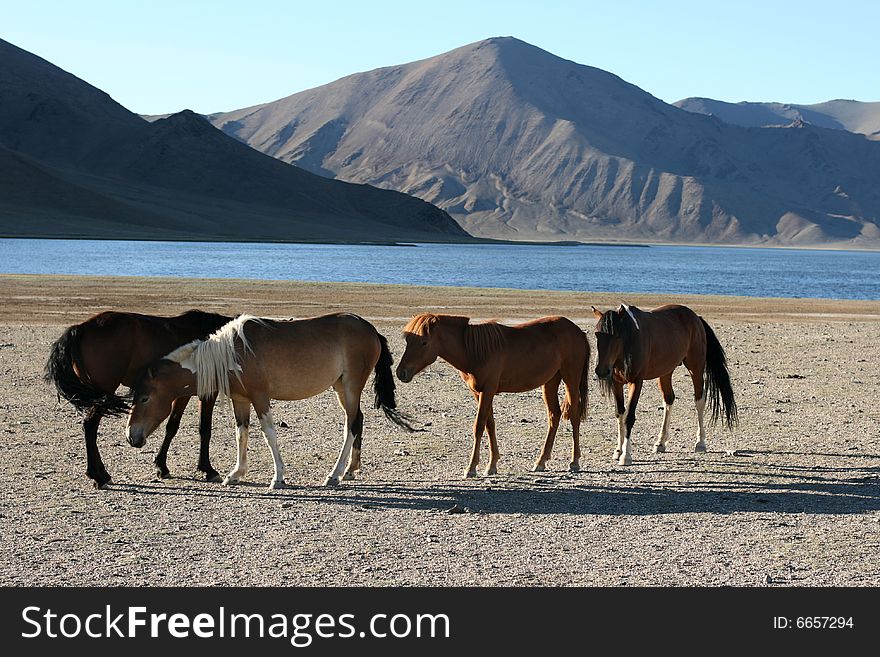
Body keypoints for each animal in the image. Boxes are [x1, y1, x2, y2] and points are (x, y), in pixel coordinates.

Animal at [45, 308, 232, 486]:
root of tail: (80, 328)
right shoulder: (206, 393)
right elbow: (204, 429)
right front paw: (208, 469)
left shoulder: (180, 395)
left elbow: (172, 426)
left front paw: (161, 466)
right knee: (90, 427)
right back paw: (99, 476)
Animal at [125, 312, 414, 486]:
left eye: (144, 398)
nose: (131, 436)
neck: (231, 353)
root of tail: (371, 330)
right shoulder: (241, 400)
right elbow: (241, 434)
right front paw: (235, 474)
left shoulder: (260, 396)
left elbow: (269, 433)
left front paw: (278, 477)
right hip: (341, 387)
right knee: (356, 422)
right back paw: (350, 470)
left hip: (352, 386)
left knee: (352, 425)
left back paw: (334, 475)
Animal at [396, 312, 588, 476]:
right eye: (408, 340)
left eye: (424, 342)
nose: (401, 372)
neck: (473, 351)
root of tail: (577, 331)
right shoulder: (478, 392)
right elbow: (490, 424)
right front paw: (492, 465)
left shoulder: (488, 390)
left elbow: (479, 426)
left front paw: (471, 468)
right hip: (550, 382)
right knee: (554, 415)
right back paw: (540, 462)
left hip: (571, 379)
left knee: (574, 415)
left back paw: (574, 462)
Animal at [592, 304, 736, 466]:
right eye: (597, 335)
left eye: (617, 336)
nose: (601, 371)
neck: (630, 340)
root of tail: (695, 318)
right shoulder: (616, 383)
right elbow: (620, 414)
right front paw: (618, 450)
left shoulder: (636, 381)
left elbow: (629, 416)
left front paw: (626, 455)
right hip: (665, 372)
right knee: (669, 399)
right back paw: (660, 442)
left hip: (696, 367)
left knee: (699, 400)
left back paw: (700, 443)